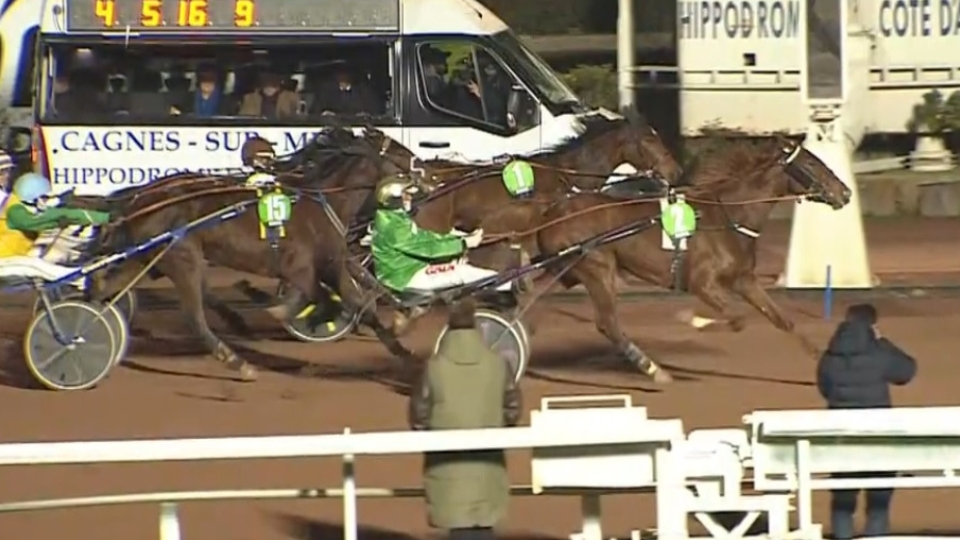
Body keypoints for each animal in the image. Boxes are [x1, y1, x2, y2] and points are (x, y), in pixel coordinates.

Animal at [523, 136, 852, 383]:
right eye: (811, 163)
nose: (845, 193)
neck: (727, 216)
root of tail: (552, 213)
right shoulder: (702, 283)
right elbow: (737, 320)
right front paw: (692, 320)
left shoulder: (743, 280)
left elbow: (781, 320)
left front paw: (819, 359)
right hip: (596, 266)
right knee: (608, 323)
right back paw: (655, 371)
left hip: (566, 270)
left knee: (530, 300)